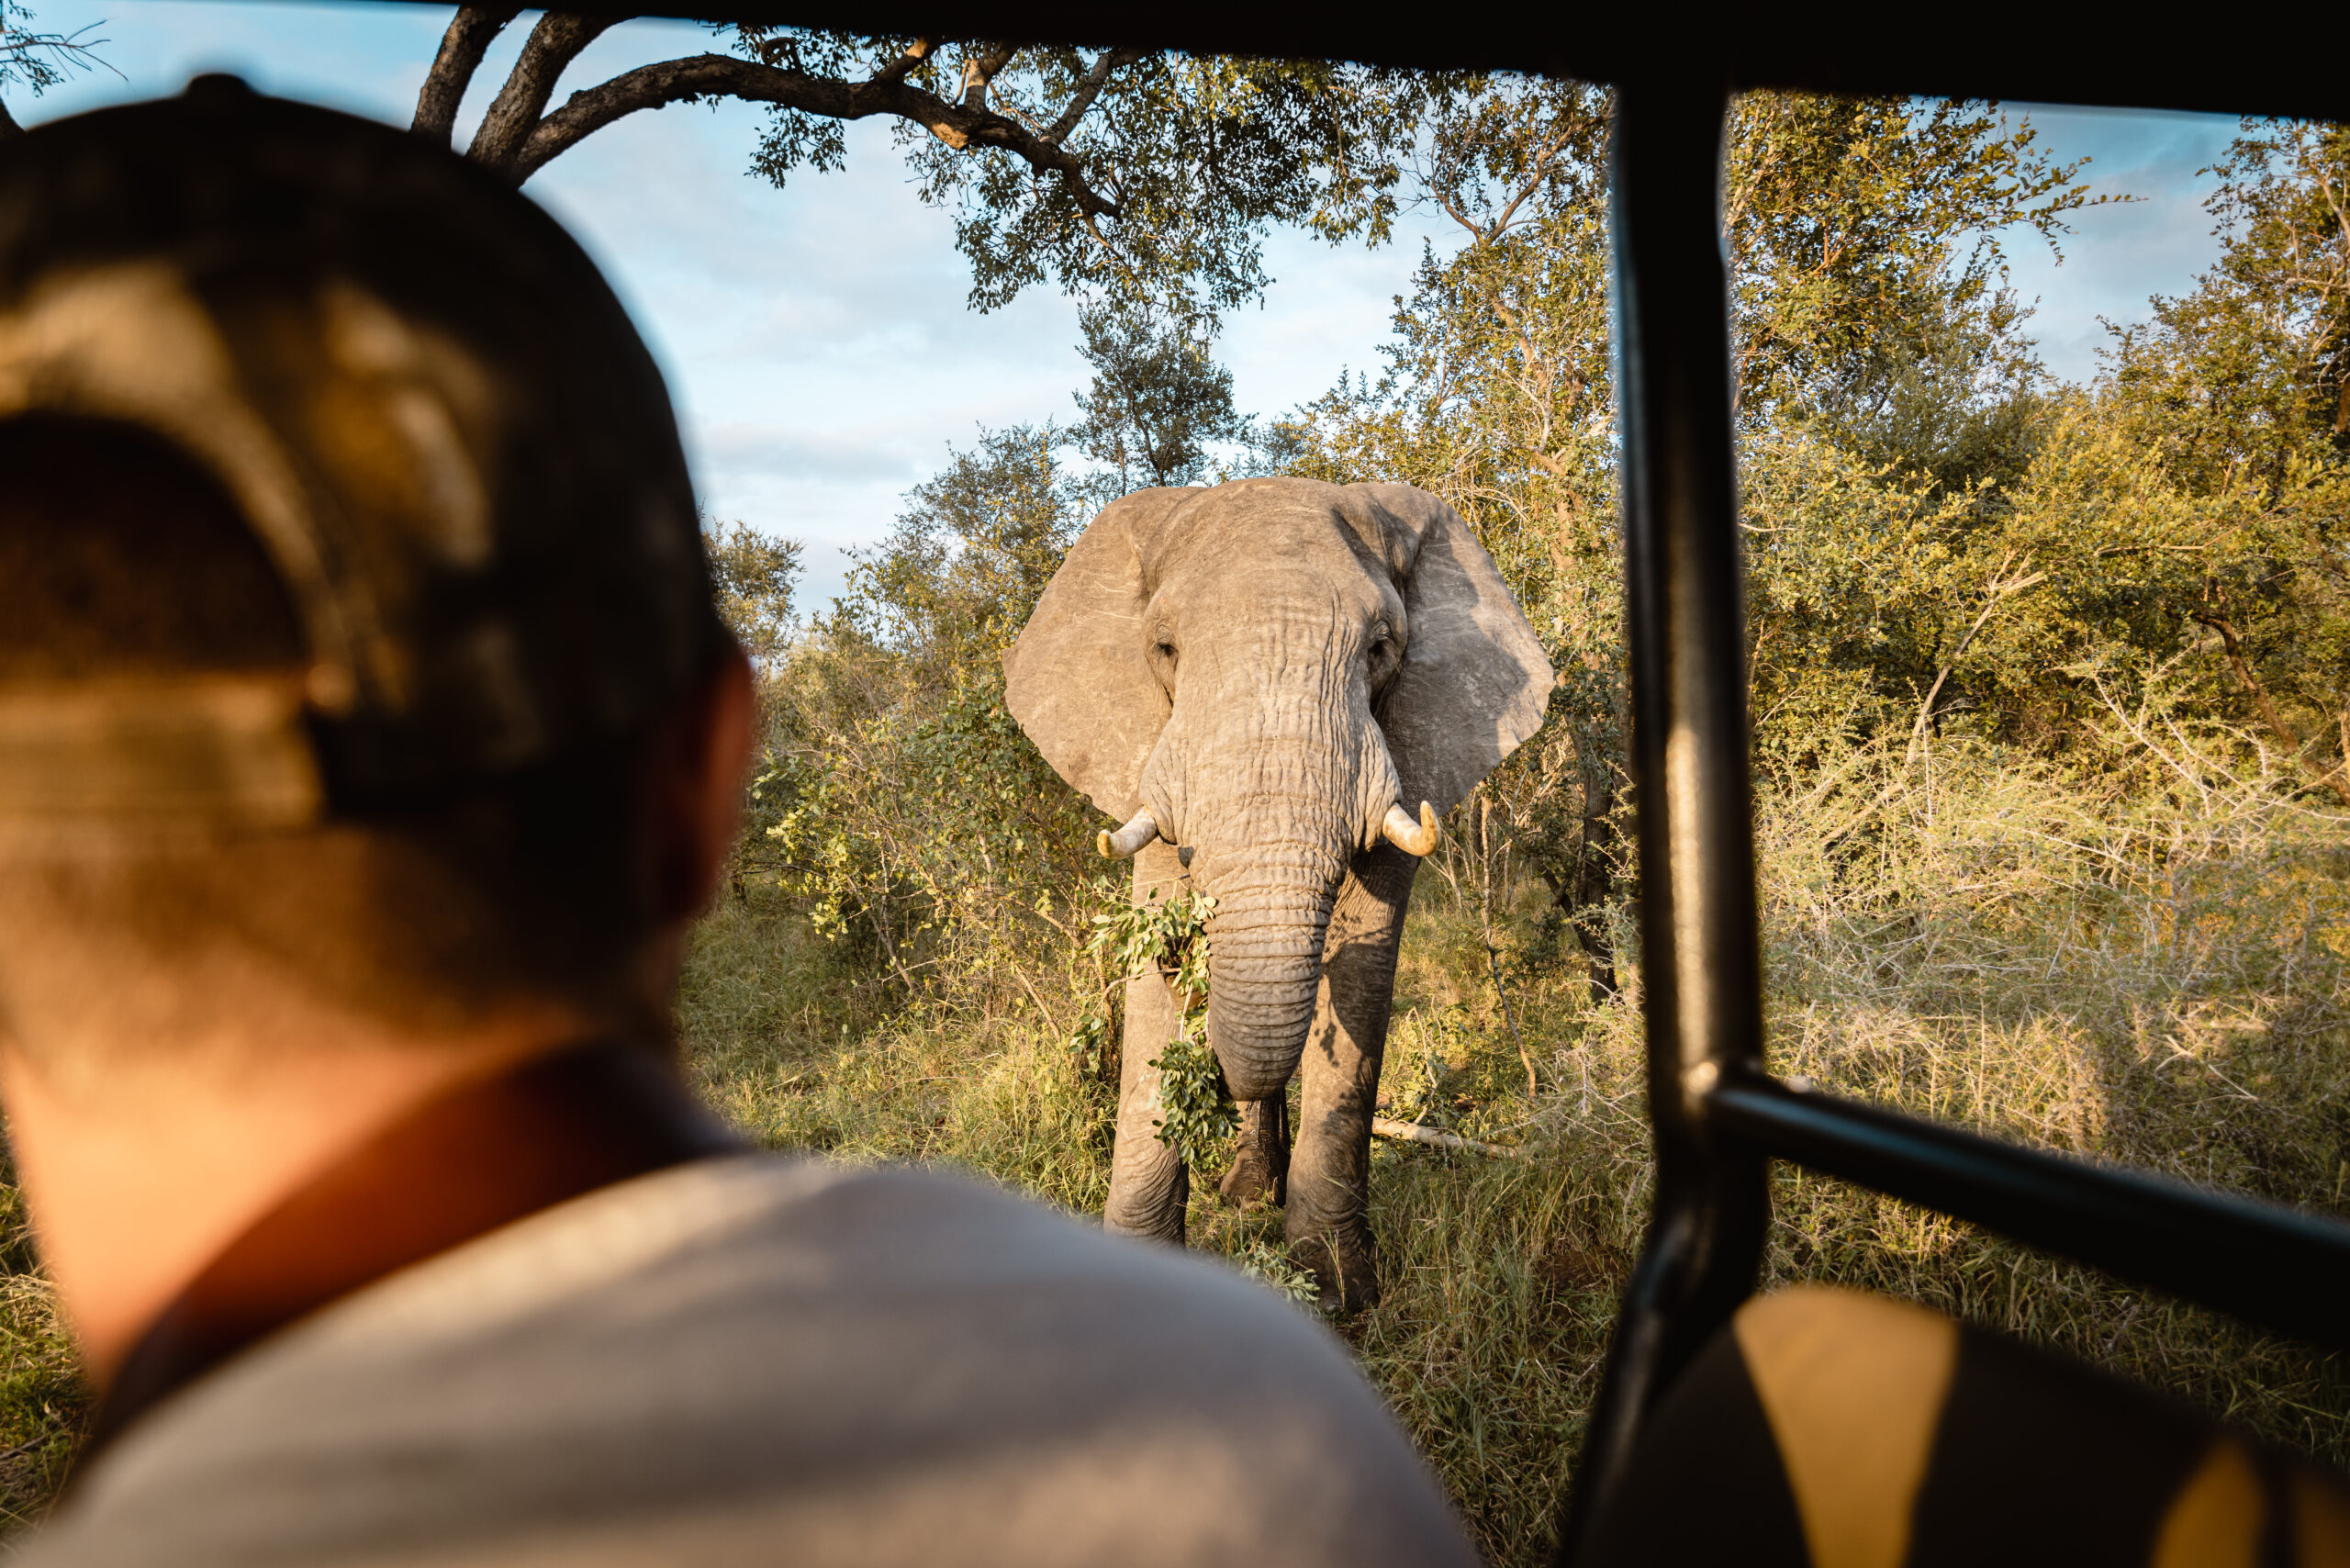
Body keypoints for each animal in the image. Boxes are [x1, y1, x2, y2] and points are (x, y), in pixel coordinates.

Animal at [1001, 479, 1550, 1316]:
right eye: (1165, 650)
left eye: (1381, 649)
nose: (1184, 948)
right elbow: (1156, 971)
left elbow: (1361, 964)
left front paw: (1336, 1293)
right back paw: (1248, 1192)